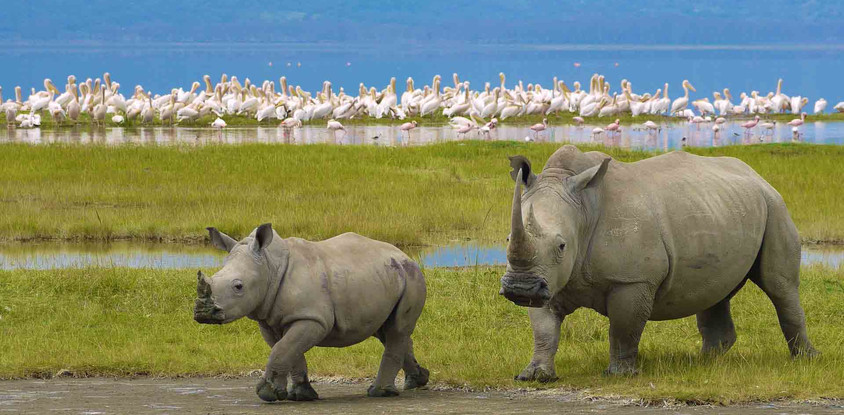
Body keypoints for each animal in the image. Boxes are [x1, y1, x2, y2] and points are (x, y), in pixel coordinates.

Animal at [194, 224, 429, 401]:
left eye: (238, 286)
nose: (202, 314)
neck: (269, 266)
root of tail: (404, 255)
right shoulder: (271, 320)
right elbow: (289, 350)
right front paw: (299, 396)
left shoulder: (313, 318)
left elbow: (282, 350)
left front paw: (267, 394)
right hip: (387, 276)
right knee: (387, 331)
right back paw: (417, 380)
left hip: (411, 277)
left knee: (397, 329)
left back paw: (379, 393)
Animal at [500, 145, 818, 380]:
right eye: (507, 238)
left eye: (562, 246)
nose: (520, 288)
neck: (583, 211)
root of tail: (757, 175)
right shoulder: (548, 278)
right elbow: (544, 328)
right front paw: (535, 376)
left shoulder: (632, 280)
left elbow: (624, 328)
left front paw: (620, 375)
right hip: (721, 208)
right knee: (716, 290)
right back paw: (704, 362)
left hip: (775, 206)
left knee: (780, 286)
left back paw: (806, 359)